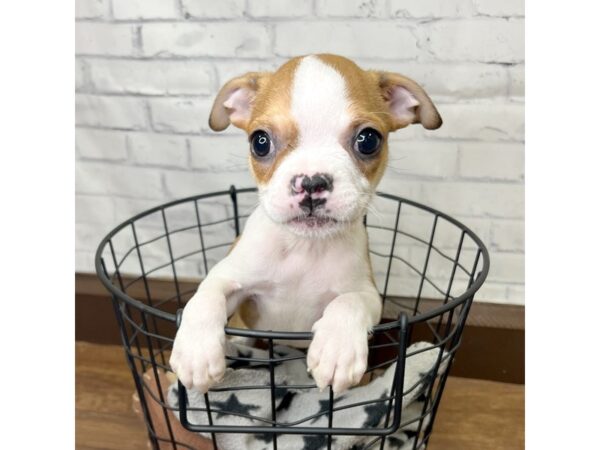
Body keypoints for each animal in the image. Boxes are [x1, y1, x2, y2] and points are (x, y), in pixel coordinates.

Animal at [169, 54, 440, 396]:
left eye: (368, 140)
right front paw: (196, 352)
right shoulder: (230, 276)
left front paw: (337, 349)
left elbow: (349, 301)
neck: (304, 247)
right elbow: (206, 295)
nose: (311, 181)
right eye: (260, 142)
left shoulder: (366, 293)